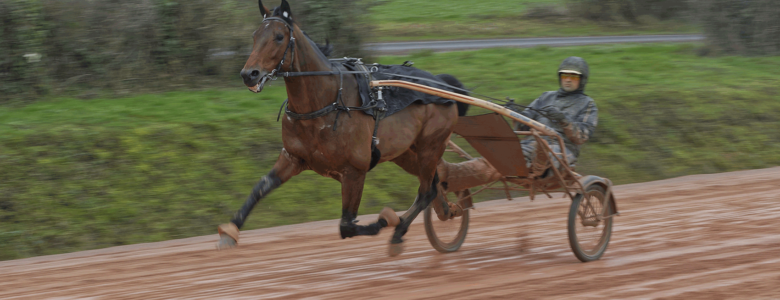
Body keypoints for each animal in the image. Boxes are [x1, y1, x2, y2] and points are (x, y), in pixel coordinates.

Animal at [215, 0, 464, 258]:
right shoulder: (293, 157)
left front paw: (385, 220)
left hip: (430, 146)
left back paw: (399, 231)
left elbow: (347, 225)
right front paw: (230, 231)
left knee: (425, 190)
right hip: (405, 153)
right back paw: (446, 211)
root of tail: (443, 84)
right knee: (433, 185)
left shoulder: (354, 171)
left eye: (279, 37)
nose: (249, 74)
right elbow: (261, 187)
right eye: (255, 35)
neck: (326, 103)